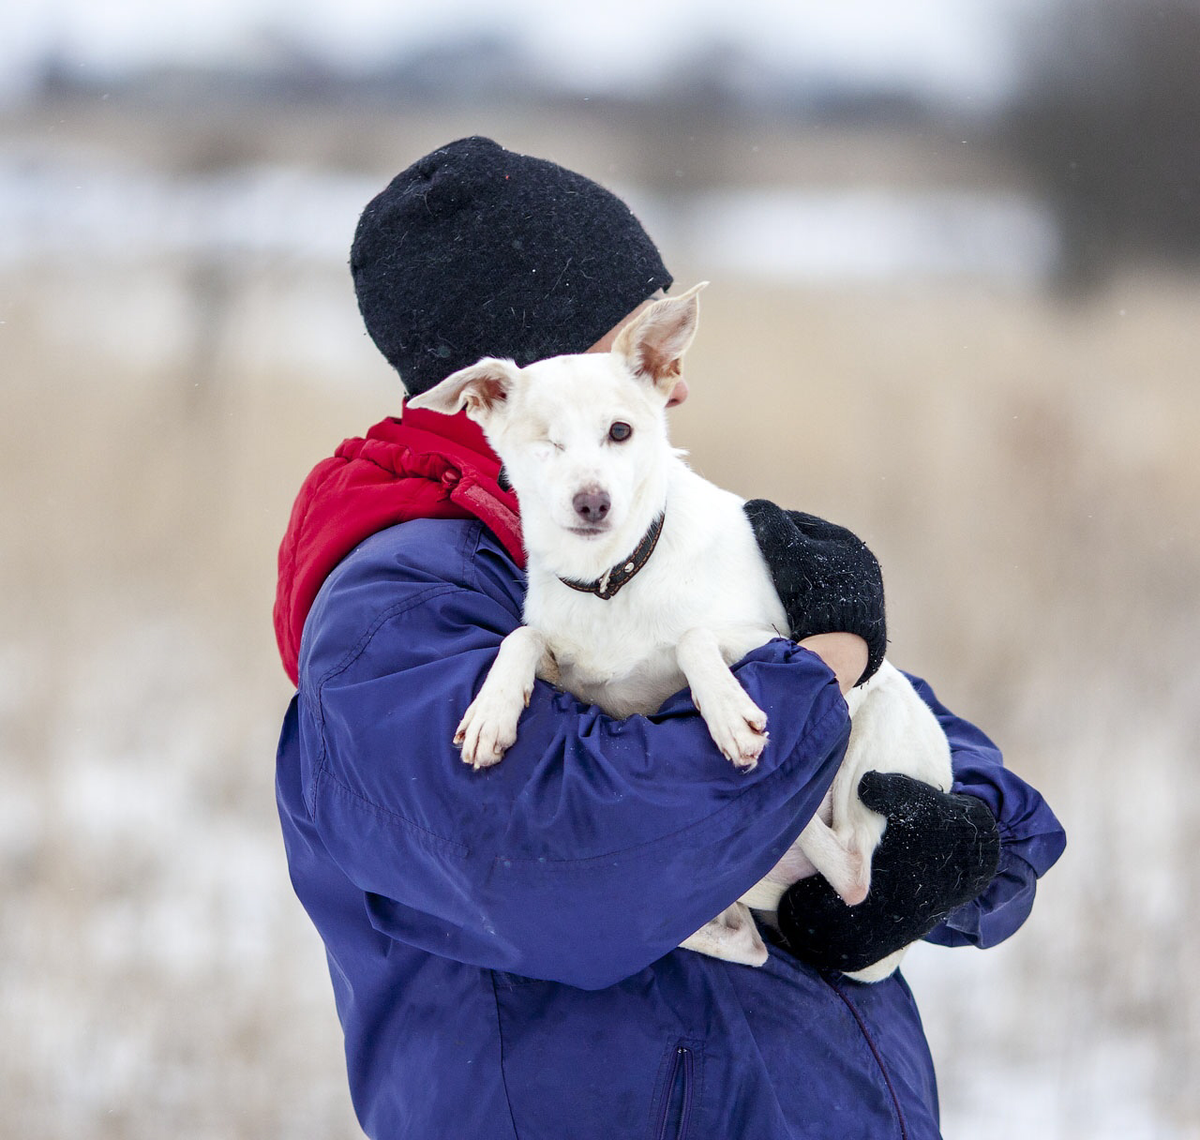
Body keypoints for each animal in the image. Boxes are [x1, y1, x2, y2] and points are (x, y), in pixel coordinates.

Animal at [408, 283, 950, 984]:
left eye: (620, 431)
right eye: (546, 442)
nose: (592, 502)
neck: (612, 579)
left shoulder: (773, 640)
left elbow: (693, 639)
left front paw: (729, 715)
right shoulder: (573, 666)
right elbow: (521, 638)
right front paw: (491, 711)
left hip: (877, 734)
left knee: (854, 875)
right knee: (744, 937)